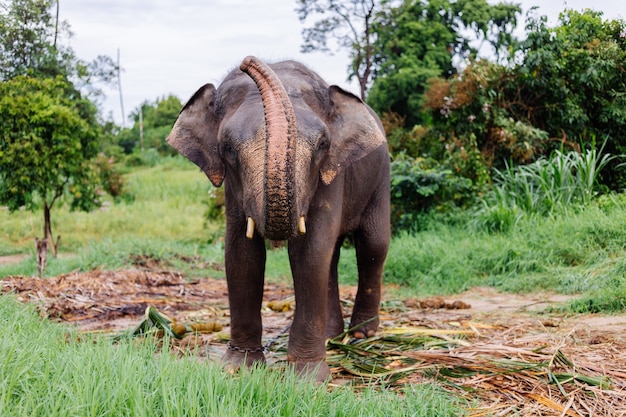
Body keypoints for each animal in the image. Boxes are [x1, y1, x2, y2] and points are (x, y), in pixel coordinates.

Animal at [166, 55, 390, 380]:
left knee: (373, 245)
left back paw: (361, 335)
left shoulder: (332, 174)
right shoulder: (234, 189)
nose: (248, 61)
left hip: (381, 178)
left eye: (322, 145)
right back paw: (331, 337)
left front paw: (307, 378)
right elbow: (241, 254)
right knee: (333, 258)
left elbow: (309, 253)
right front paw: (238, 368)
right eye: (228, 148)